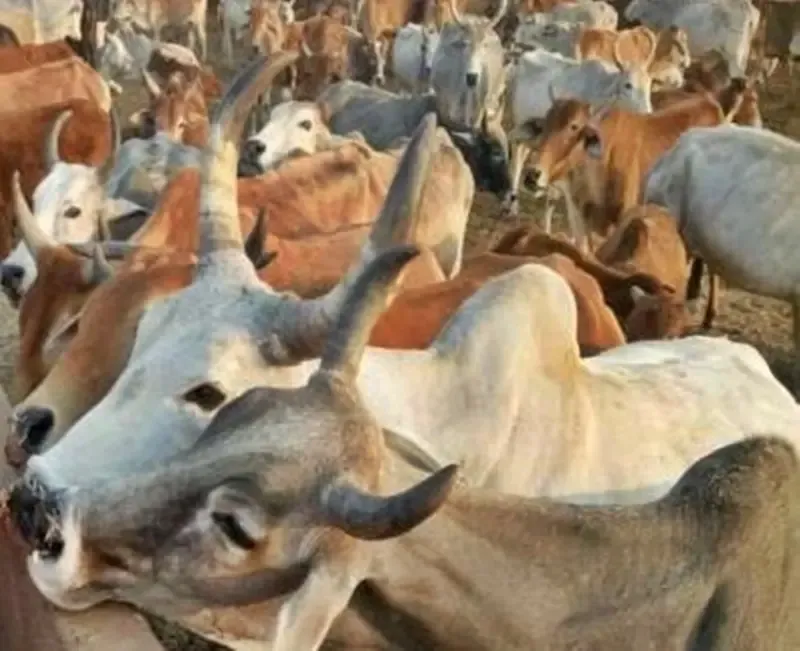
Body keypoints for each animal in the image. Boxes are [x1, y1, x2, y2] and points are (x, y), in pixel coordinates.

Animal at [503, 49, 653, 217]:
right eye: (628, 85)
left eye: (649, 83)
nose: (648, 113)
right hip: (517, 129)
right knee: (516, 164)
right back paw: (512, 205)